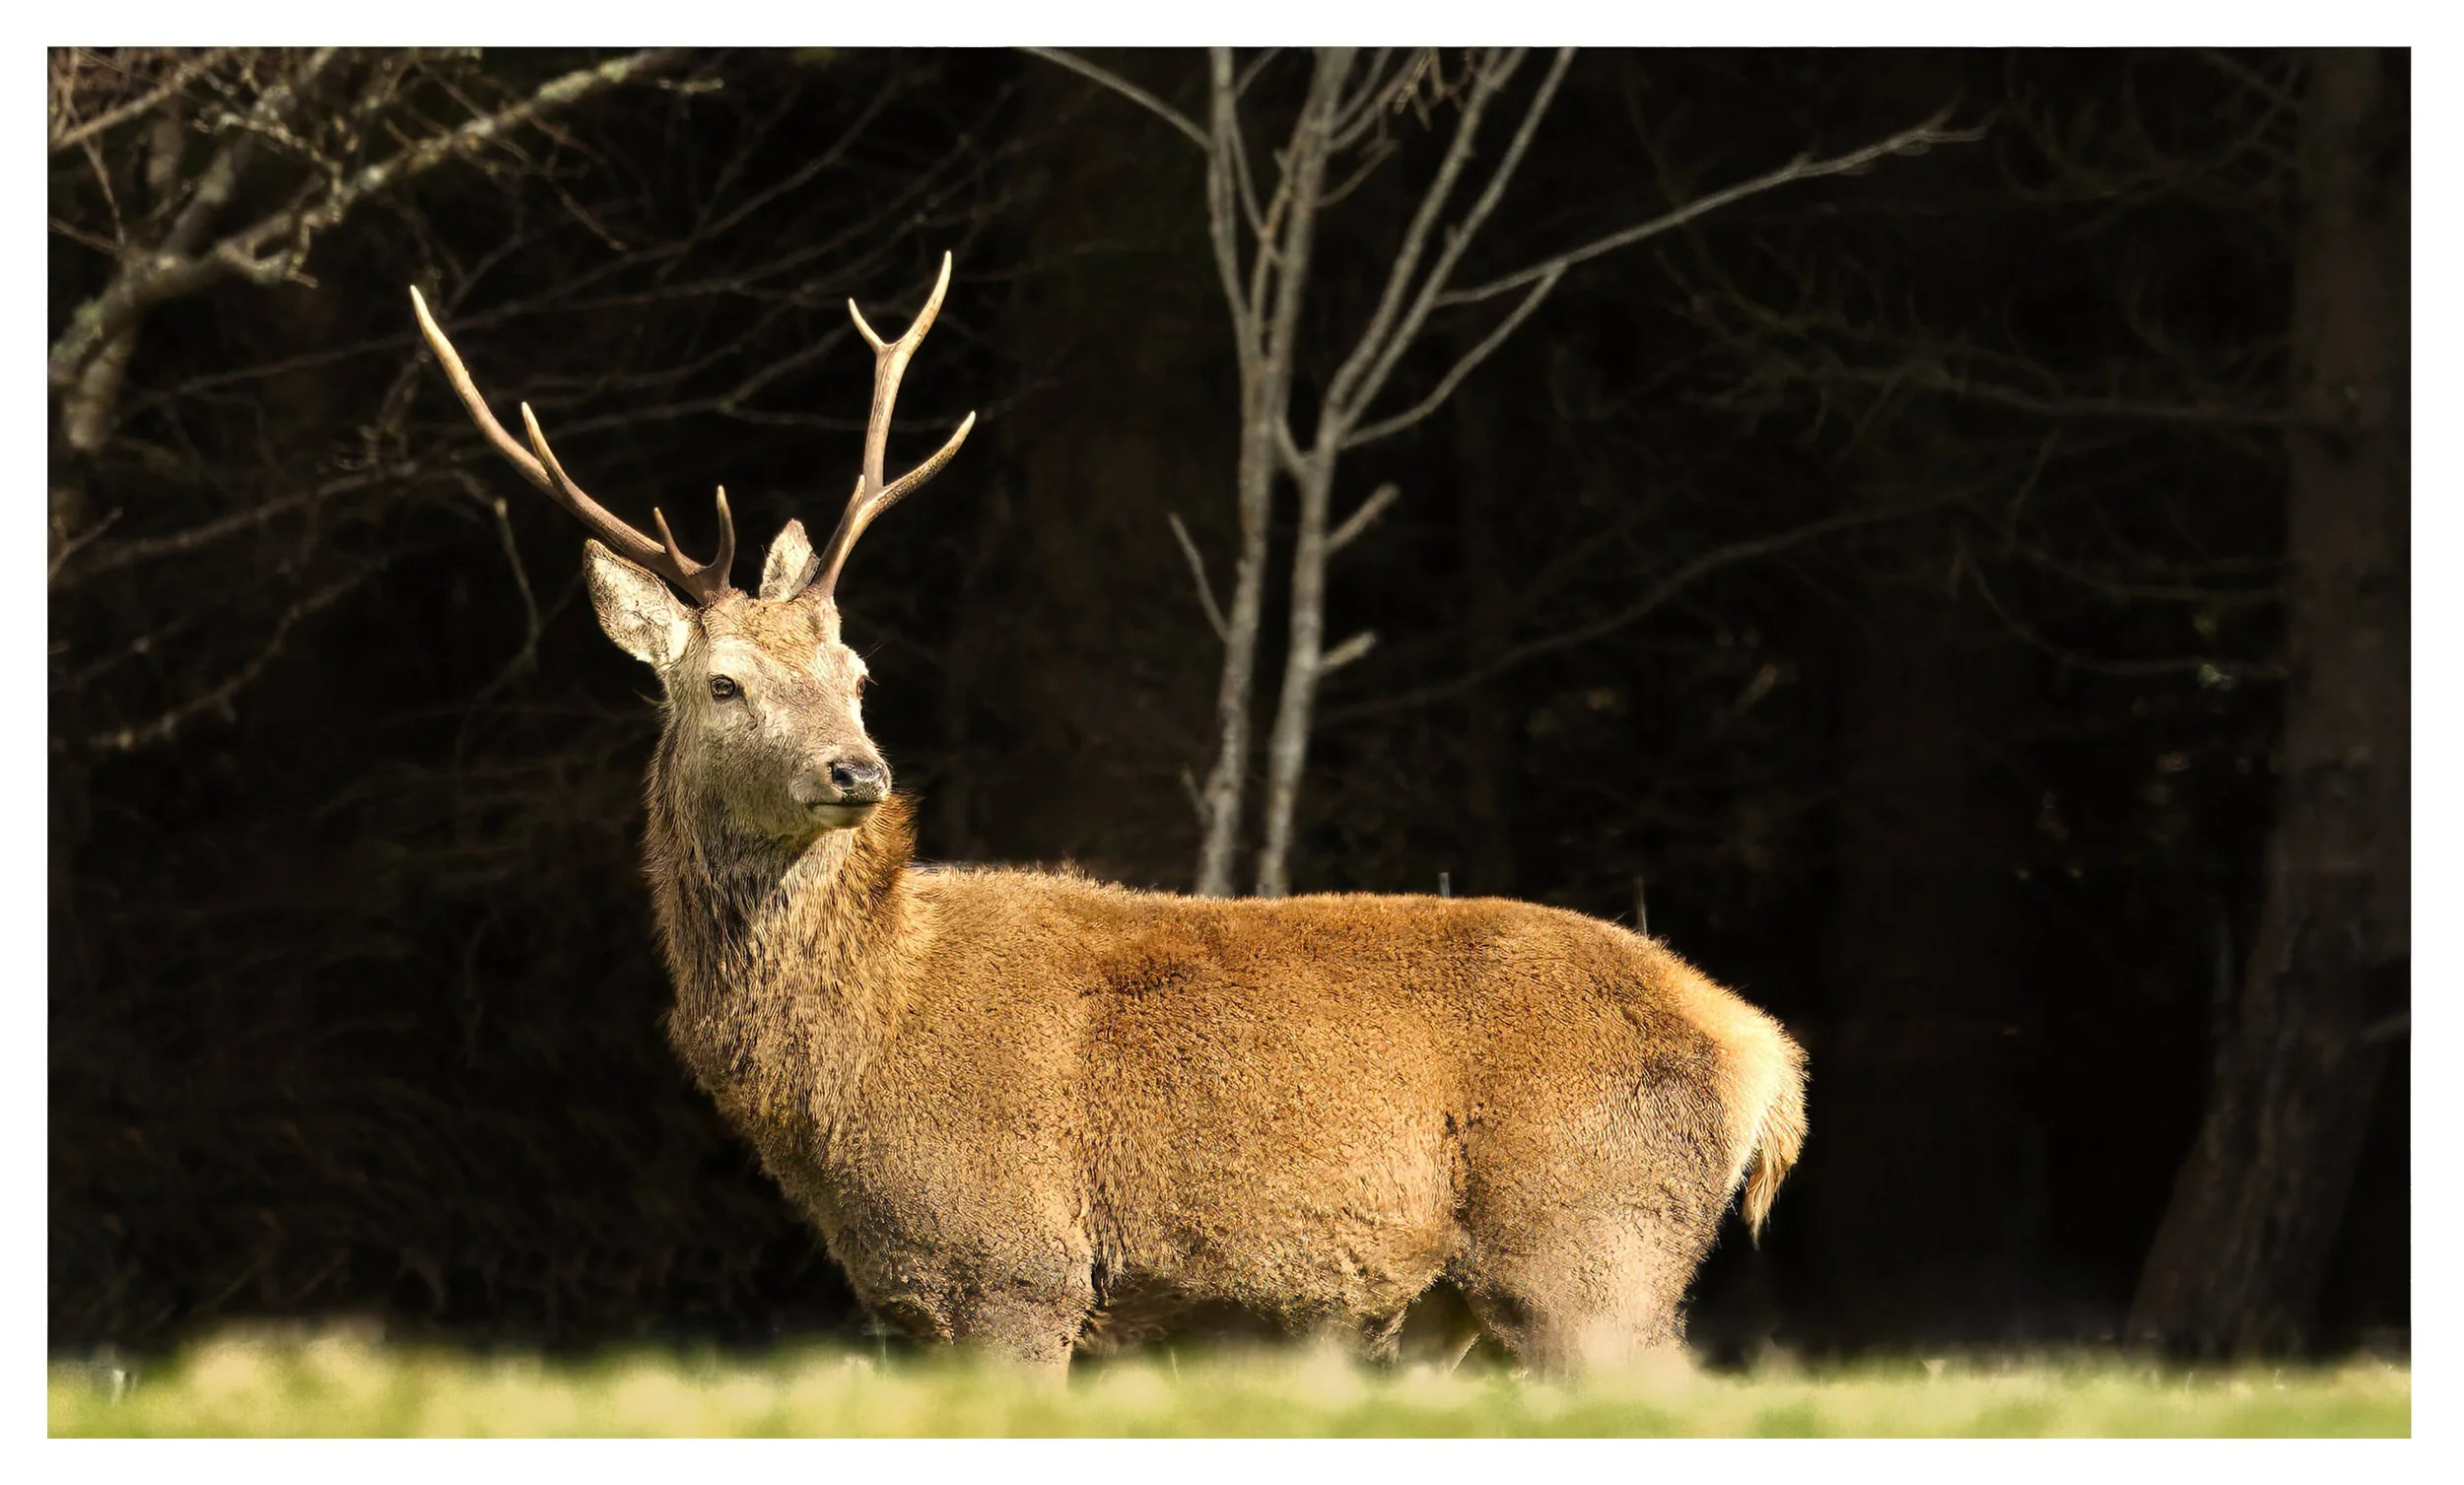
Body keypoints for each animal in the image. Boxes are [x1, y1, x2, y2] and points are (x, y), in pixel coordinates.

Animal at [408, 253, 1806, 1378]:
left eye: (857, 671)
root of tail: (1758, 1054)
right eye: (725, 683)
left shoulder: (1011, 1265)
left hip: (1588, 1258)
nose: (858, 770)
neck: (847, 1062)